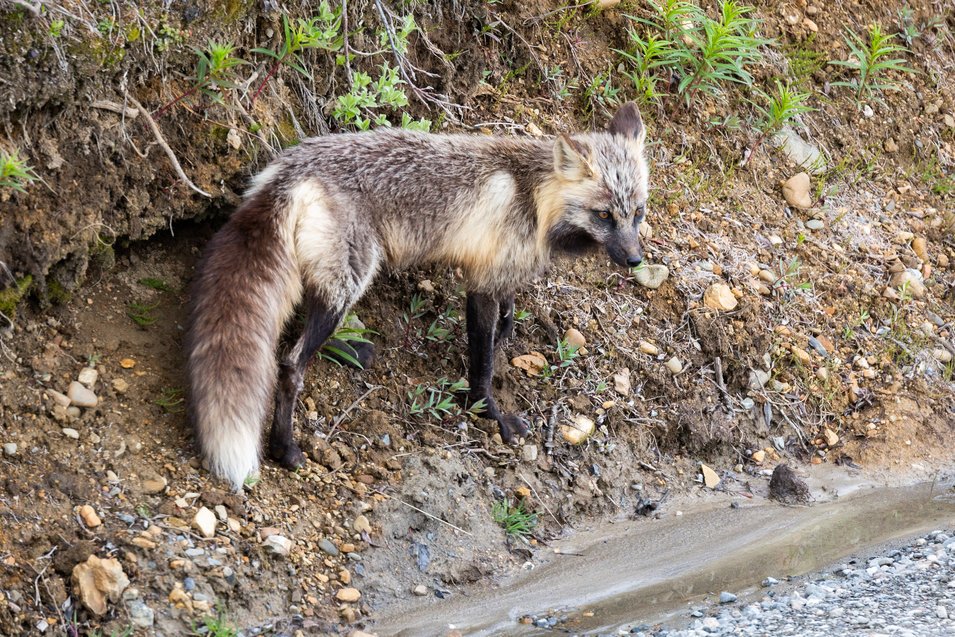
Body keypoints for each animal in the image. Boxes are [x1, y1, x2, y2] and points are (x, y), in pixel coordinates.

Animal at [187, 102, 648, 490]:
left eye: (638, 212)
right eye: (604, 215)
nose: (635, 259)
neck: (533, 199)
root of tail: (291, 170)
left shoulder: (502, 273)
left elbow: (507, 317)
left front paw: (502, 343)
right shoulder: (481, 282)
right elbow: (482, 362)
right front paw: (488, 412)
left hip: (338, 285)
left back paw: (352, 353)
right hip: (352, 279)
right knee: (290, 363)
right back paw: (286, 449)